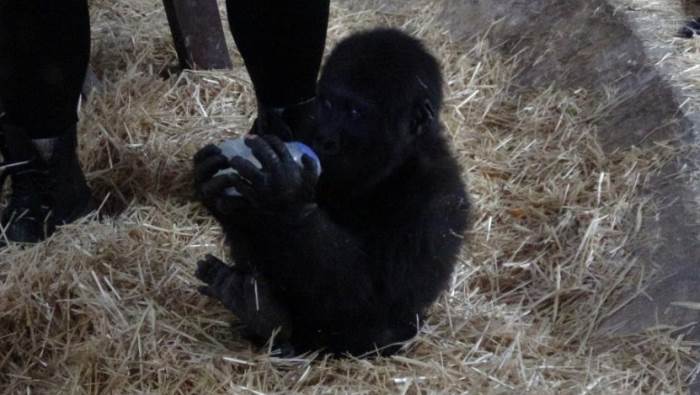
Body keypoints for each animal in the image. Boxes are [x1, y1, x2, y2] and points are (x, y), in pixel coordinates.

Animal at [193, 27, 470, 356]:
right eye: (327, 104)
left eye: (355, 112)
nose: (325, 138)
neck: (396, 163)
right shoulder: (300, 126)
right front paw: (219, 194)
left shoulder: (439, 199)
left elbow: (377, 297)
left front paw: (285, 200)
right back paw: (257, 310)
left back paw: (267, 317)